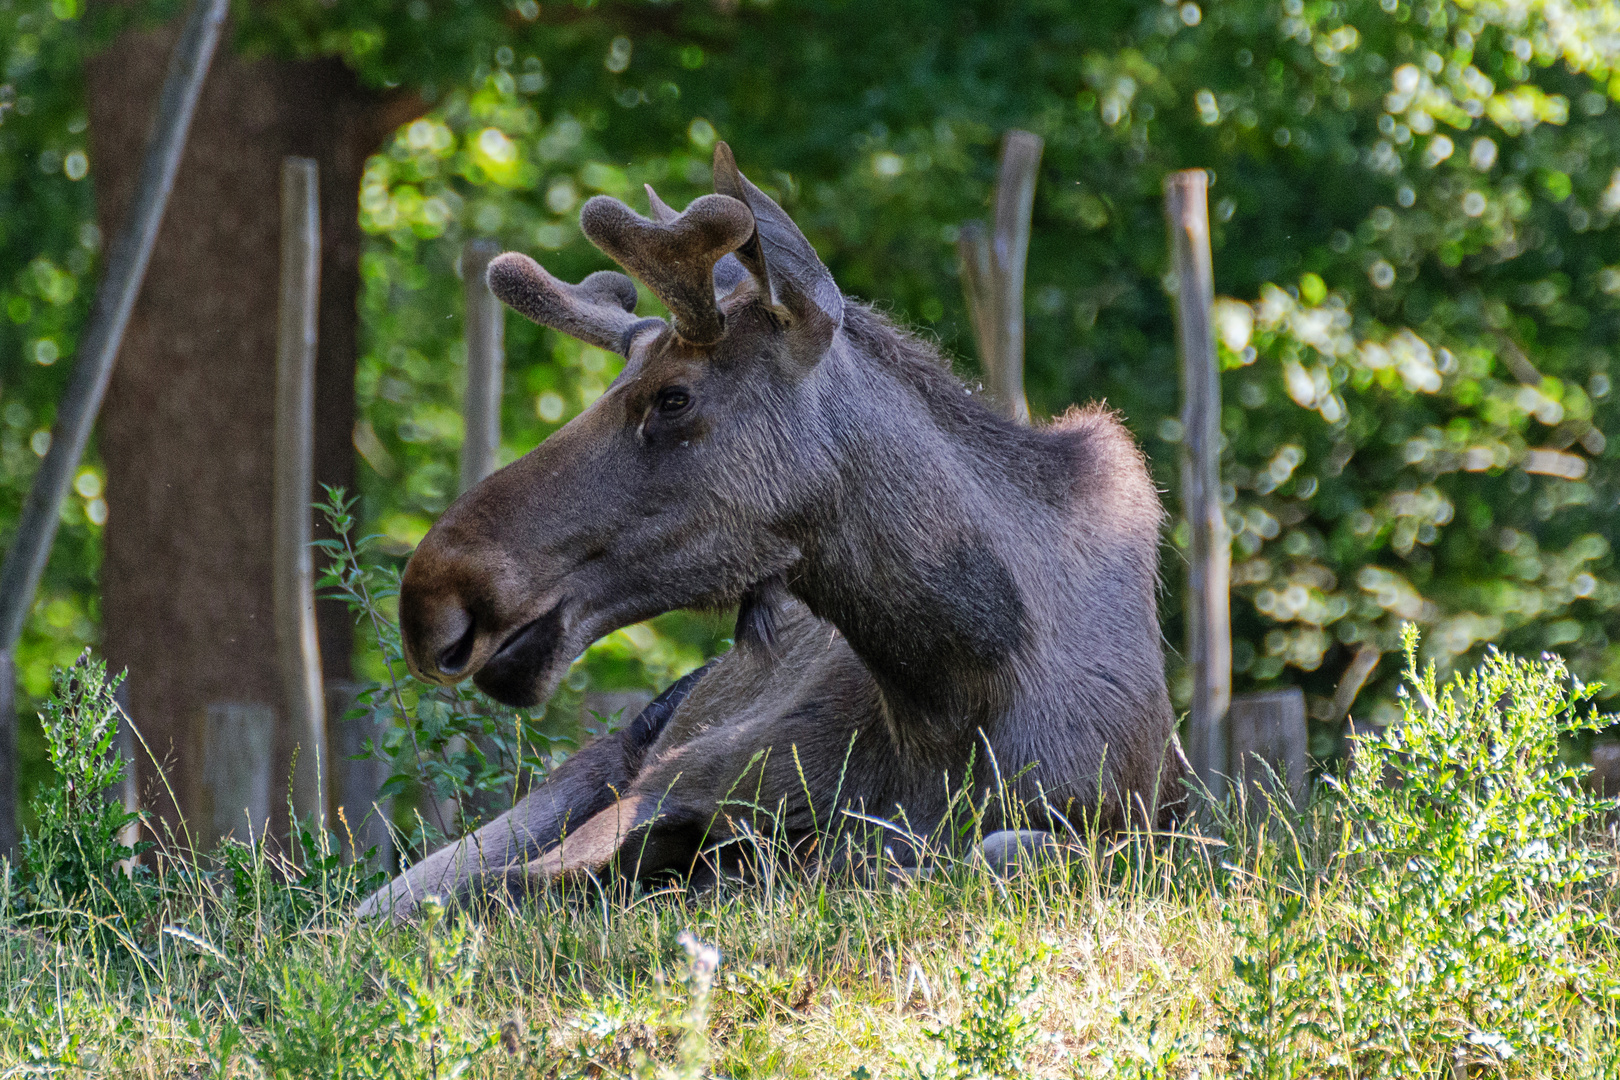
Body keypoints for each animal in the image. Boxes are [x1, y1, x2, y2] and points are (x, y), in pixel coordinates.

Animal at [358, 143, 1179, 919]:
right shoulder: (677, 778)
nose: (432, 596)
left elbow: (990, 851)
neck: (955, 691)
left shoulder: (1120, 832)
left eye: (674, 397)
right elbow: (471, 897)